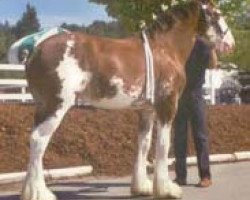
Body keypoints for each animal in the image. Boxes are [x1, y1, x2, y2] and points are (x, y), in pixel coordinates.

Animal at [7, 0, 234, 200]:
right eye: (217, 14)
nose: (230, 43)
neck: (164, 48)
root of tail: (35, 50)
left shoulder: (146, 111)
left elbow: (143, 144)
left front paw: (142, 187)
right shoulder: (167, 106)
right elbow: (162, 145)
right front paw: (167, 189)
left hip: (43, 107)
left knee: (34, 141)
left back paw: (29, 191)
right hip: (55, 106)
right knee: (38, 140)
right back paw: (40, 193)